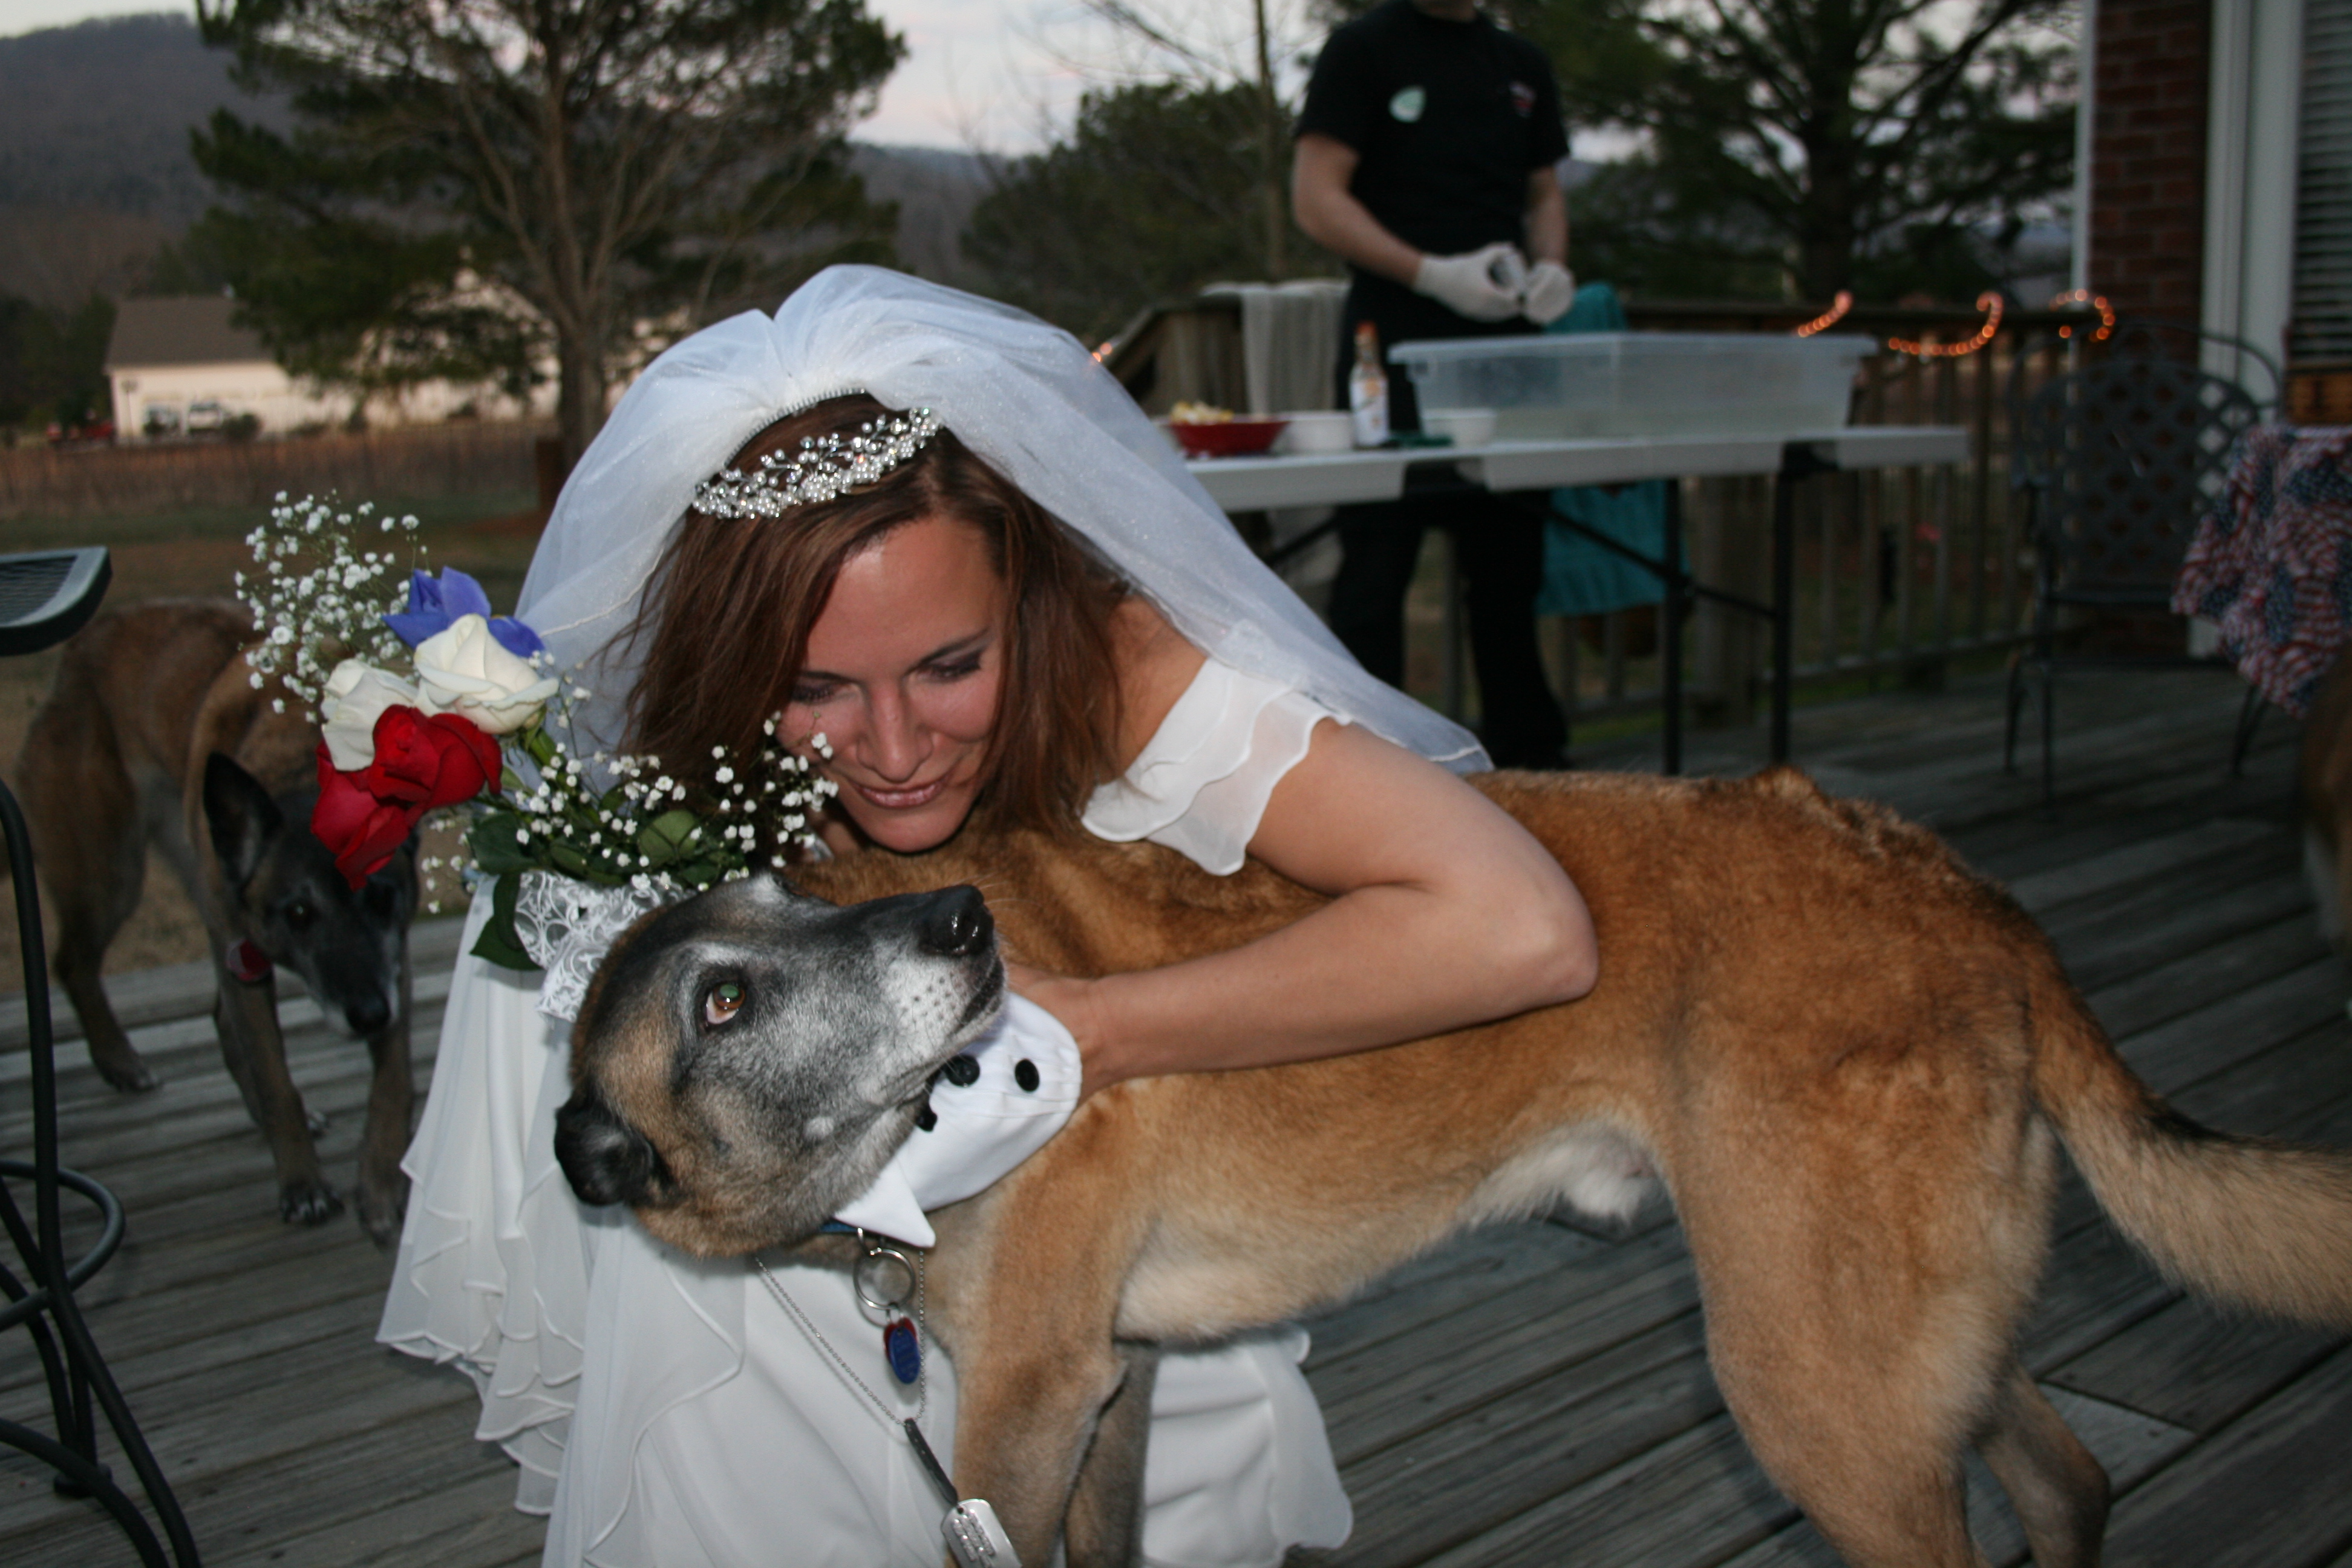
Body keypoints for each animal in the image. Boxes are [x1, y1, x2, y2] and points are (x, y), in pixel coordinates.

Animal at [9, 597, 420, 1241]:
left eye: (380, 899)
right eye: (299, 912)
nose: (368, 1017)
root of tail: (81, 645)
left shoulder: (390, 961)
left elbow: (393, 1081)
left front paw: (380, 1182)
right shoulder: (246, 954)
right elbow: (276, 1081)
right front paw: (302, 1184)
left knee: (217, 1016)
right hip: (112, 874)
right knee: (72, 961)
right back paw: (120, 1061)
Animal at [550, 771, 2352, 1568]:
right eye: (725, 990)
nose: (963, 925)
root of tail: (1963, 891)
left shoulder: (1028, 1412)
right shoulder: (1109, 1394)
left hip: (1812, 1383)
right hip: (1905, 1340)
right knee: (2069, 1479)